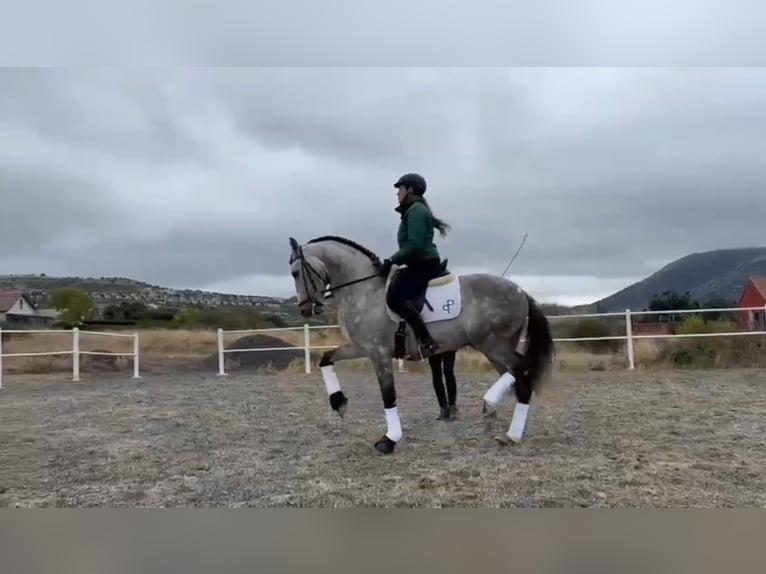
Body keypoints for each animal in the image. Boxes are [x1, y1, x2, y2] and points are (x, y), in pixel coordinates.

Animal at [288, 234, 555, 455]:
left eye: (295, 273)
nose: (305, 309)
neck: (364, 289)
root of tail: (521, 292)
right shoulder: (362, 348)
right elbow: (326, 358)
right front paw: (339, 402)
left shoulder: (379, 353)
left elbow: (388, 395)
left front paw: (389, 440)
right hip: (495, 349)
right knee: (517, 378)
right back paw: (505, 426)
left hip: (492, 345)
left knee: (522, 371)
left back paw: (500, 417)